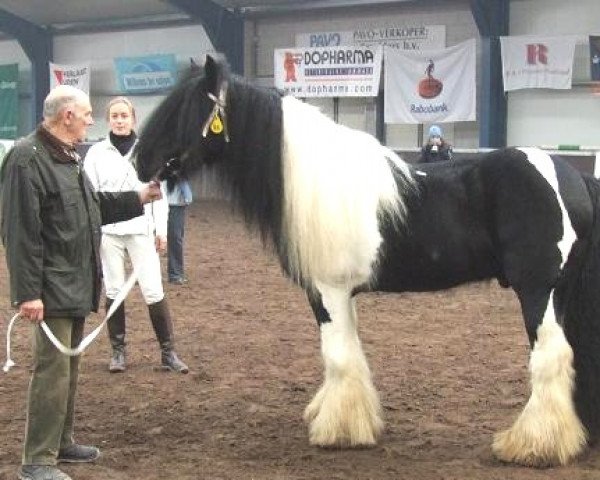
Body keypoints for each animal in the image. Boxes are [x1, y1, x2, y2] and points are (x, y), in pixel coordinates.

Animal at [135, 54, 600, 466]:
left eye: (183, 109)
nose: (139, 161)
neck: (313, 181)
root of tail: (571, 176)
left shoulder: (328, 291)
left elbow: (338, 357)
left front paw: (337, 432)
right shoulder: (343, 294)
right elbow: (349, 355)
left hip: (539, 291)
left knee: (551, 356)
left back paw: (533, 445)